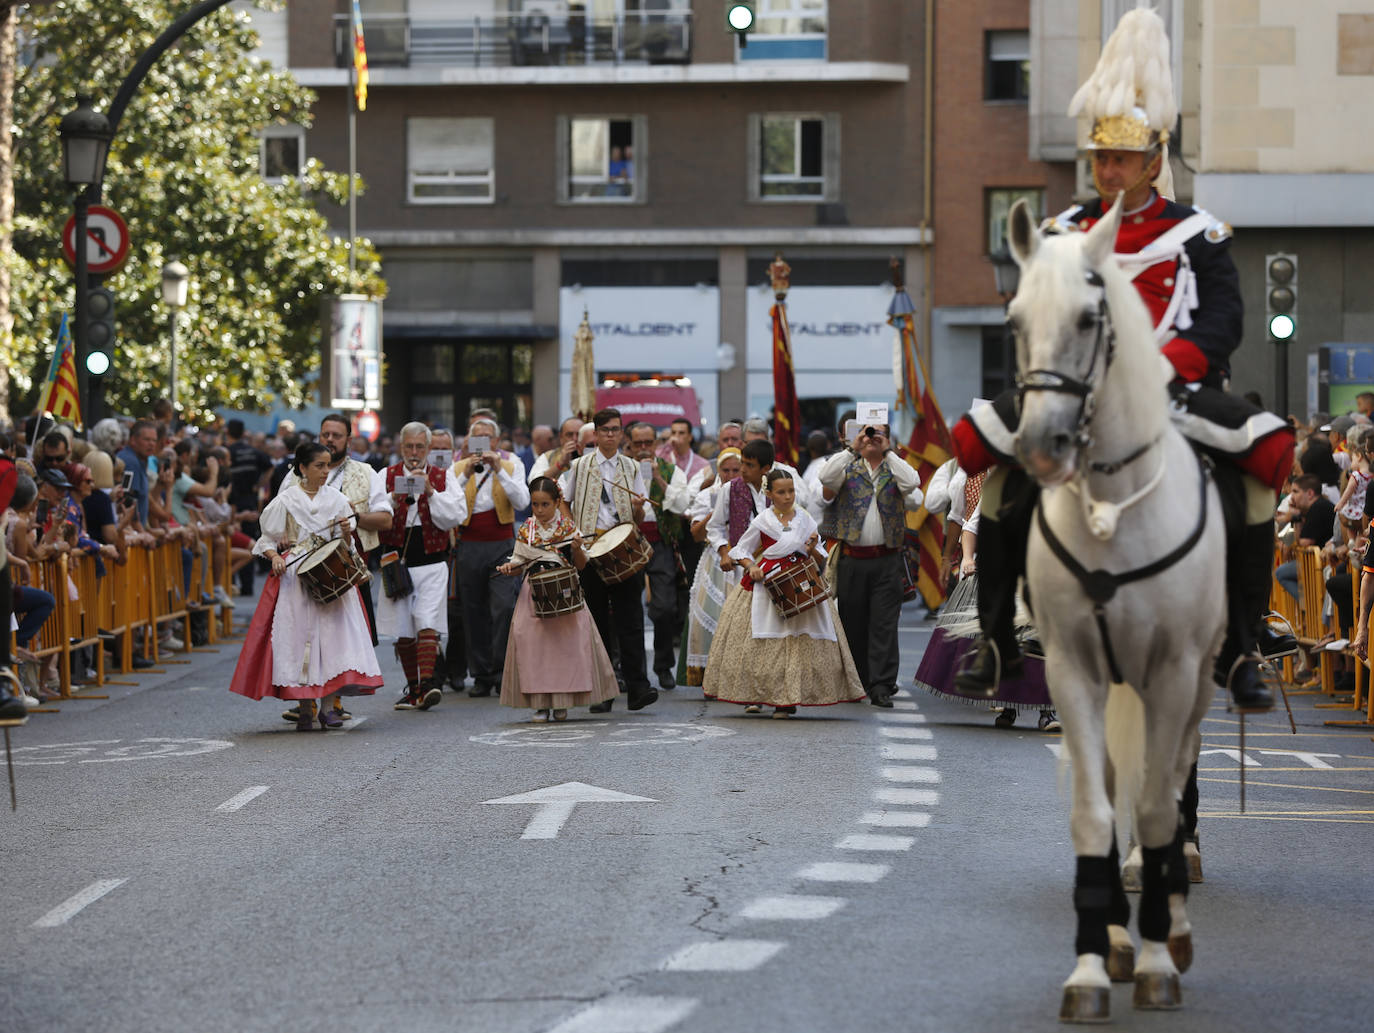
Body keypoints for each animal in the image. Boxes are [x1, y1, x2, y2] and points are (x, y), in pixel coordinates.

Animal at [1011, 195, 1225, 1027]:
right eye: (1014, 319)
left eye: (1086, 317)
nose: (1042, 445)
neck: (1113, 508)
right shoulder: (1075, 671)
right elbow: (1096, 809)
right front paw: (1096, 958)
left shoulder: (1170, 672)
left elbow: (1160, 809)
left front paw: (1161, 955)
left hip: (1200, 680)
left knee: (1175, 784)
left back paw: (1176, 917)